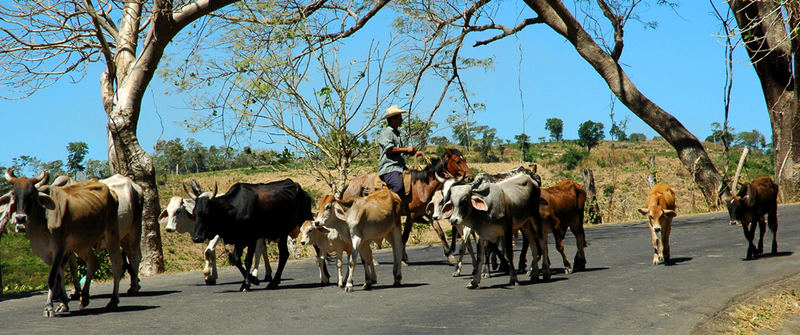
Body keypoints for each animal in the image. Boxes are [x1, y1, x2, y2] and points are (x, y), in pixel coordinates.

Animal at [0, 171, 123, 318]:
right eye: (14, 193)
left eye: (32, 194)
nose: (20, 218)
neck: (41, 222)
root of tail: (111, 191)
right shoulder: (54, 252)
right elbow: (60, 276)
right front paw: (63, 303)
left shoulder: (59, 248)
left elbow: (52, 278)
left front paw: (49, 307)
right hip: (81, 244)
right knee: (92, 262)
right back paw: (84, 298)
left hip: (112, 234)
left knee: (117, 265)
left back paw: (113, 300)